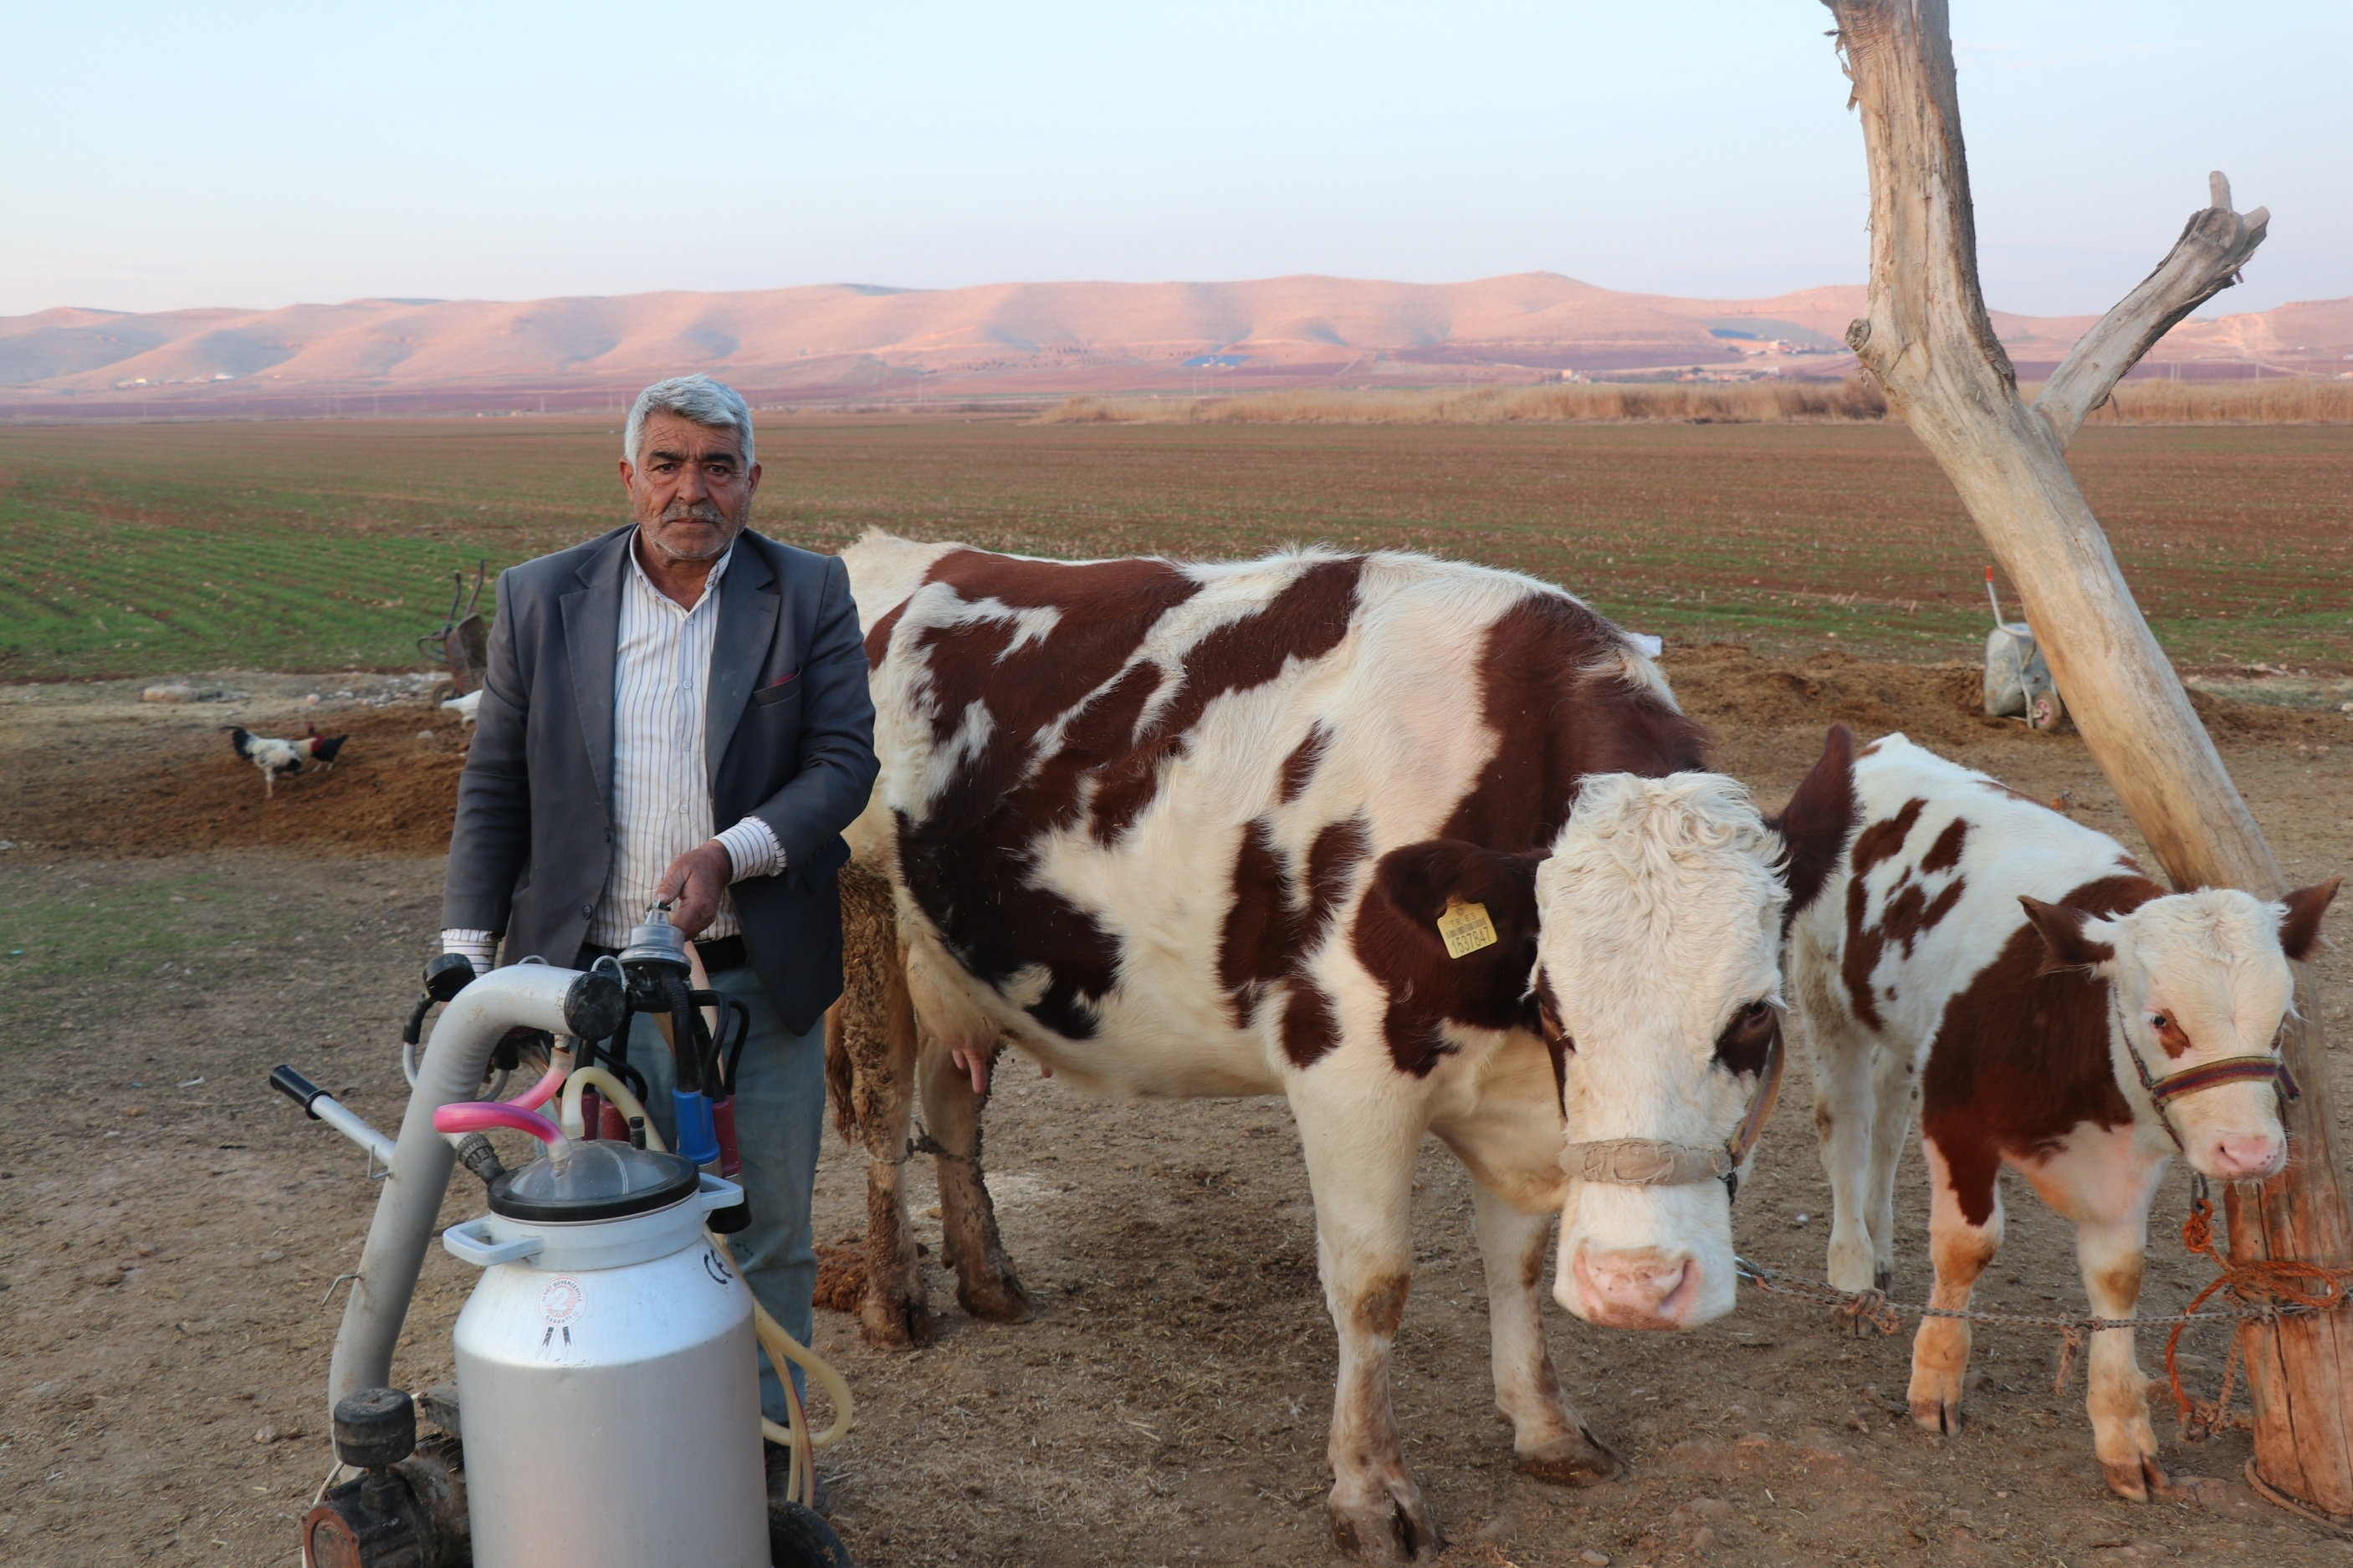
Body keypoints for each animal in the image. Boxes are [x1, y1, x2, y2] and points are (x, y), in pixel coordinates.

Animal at [832, 535, 1854, 1560]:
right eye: (1558, 1004)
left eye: (1755, 1014)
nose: (1636, 1287)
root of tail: (889, 551)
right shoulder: (1346, 1078)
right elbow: (1371, 1286)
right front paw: (1370, 1490)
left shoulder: (1526, 1104)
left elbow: (1516, 1260)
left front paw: (1545, 1426)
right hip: (863, 924)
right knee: (883, 1111)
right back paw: (892, 1299)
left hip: (959, 961)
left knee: (952, 1104)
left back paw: (989, 1278)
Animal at [1798, 733, 2334, 1494]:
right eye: (2161, 1018)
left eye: (2281, 1022)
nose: (2250, 1153)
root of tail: (1874, 744)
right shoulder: (1956, 1115)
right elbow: (1965, 1245)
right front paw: (1935, 1380)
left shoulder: (2126, 1161)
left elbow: (2118, 1276)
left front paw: (2123, 1435)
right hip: (1823, 989)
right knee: (1842, 1122)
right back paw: (1849, 1271)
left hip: (1902, 1032)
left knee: (1886, 1121)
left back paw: (1876, 1254)